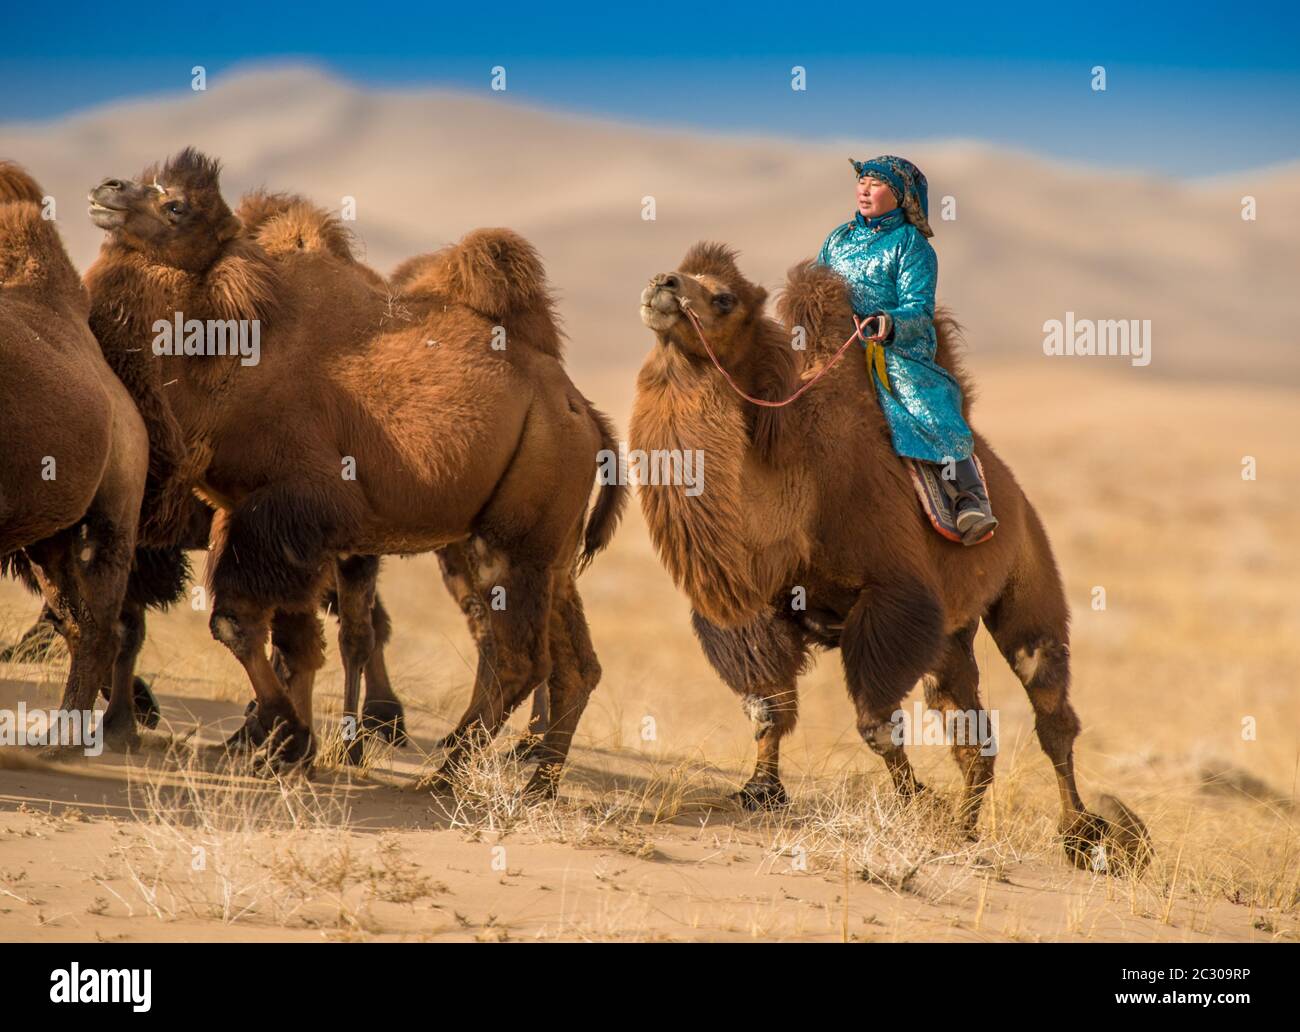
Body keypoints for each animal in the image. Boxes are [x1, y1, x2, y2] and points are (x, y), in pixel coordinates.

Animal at [85, 146, 624, 790]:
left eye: (176, 206)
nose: (107, 188)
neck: (229, 346)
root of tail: (583, 411)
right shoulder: (253, 516)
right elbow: (285, 638)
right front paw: (285, 745)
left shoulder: (292, 510)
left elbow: (235, 624)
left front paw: (287, 738)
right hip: (550, 553)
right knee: (574, 664)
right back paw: (536, 783)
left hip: (512, 544)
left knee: (518, 657)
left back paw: (444, 774)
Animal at [629, 241, 1149, 868]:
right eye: (684, 274)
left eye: (723, 297)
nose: (661, 283)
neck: (798, 490)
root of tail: (1013, 492)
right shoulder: (760, 610)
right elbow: (768, 708)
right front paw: (761, 790)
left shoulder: (891, 599)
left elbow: (875, 724)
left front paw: (916, 803)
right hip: (952, 636)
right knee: (971, 733)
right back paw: (965, 830)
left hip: (1029, 581)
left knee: (1049, 707)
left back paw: (1082, 835)